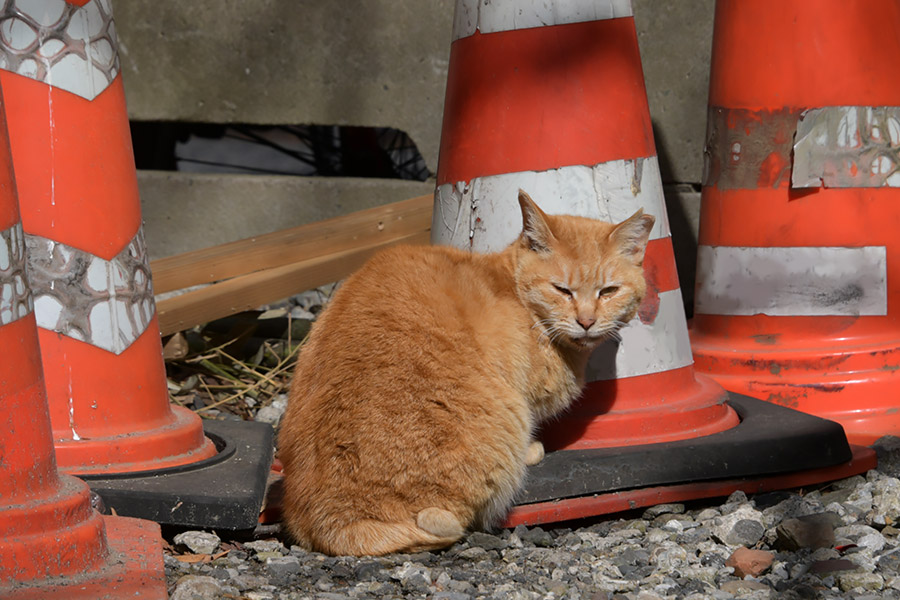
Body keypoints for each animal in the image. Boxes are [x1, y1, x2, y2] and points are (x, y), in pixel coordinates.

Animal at [280, 190, 652, 556]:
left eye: (609, 291)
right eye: (562, 290)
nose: (586, 321)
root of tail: (331, 523)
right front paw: (533, 449)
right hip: (500, 427)